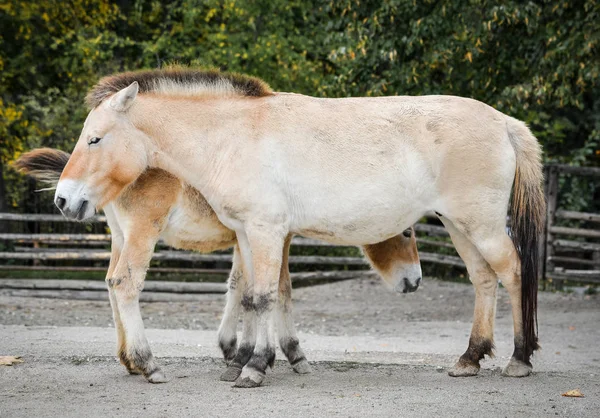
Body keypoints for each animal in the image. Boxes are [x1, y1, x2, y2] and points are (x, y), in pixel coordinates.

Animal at [12, 149, 418, 384]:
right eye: (409, 231)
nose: (414, 281)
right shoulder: (277, 234)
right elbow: (279, 289)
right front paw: (287, 353)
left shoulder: (247, 234)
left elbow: (242, 285)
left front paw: (237, 352)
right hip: (142, 231)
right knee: (125, 285)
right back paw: (148, 364)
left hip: (118, 235)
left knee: (111, 284)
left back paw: (128, 361)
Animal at [54, 68, 548, 388]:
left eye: (95, 138)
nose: (63, 199)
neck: (231, 137)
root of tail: (503, 122)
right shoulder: (248, 235)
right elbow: (253, 296)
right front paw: (247, 363)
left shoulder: (268, 232)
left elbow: (263, 296)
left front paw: (255, 367)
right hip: (461, 226)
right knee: (484, 279)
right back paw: (470, 358)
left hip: (481, 225)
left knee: (513, 273)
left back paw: (519, 359)